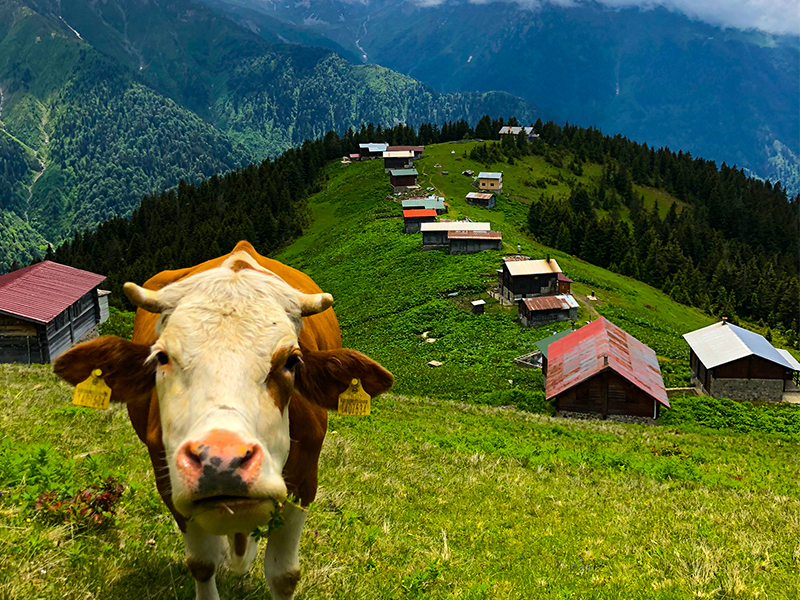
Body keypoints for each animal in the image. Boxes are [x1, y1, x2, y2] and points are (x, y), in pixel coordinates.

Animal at [53, 241, 394, 596]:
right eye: (161, 357)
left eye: (291, 360)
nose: (221, 461)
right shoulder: (170, 486)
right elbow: (202, 563)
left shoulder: (304, 483)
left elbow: (284, 575)